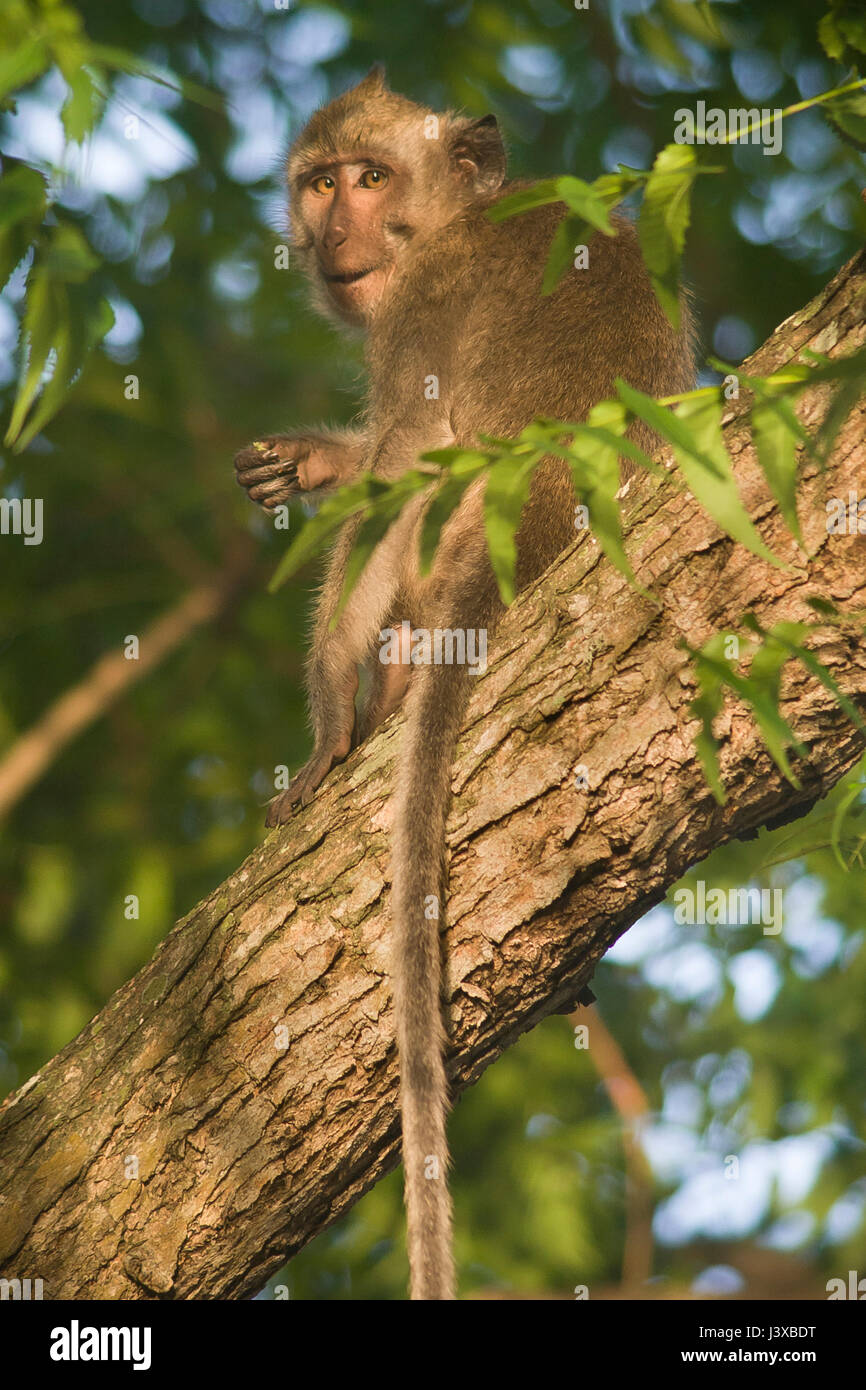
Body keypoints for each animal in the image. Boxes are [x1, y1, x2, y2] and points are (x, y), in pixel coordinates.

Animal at [234, 67, 696, 1300]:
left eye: (370, 177)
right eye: (319, 183)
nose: (334, 231)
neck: (451, 218)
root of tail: (539, 516)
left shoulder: (422, 307)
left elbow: (402, 451)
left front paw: (326, 720)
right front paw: (310, 455)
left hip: (454, 535)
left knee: (416, 483)